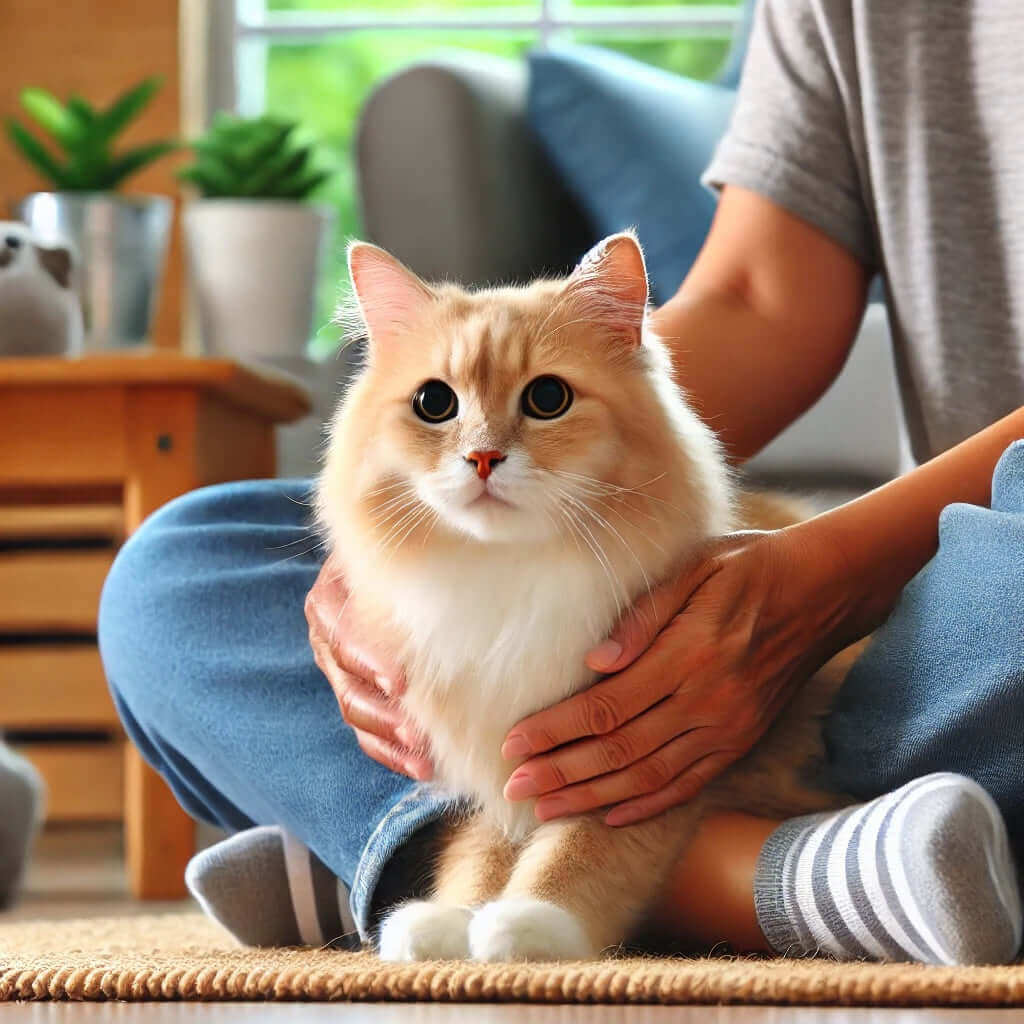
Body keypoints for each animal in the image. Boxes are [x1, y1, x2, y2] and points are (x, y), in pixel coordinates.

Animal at [315, 230, 851, 958]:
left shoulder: (648, 771)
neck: (507, 581)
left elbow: (580, 850)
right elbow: (478, 854)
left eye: (547, 399)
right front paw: (447, 923)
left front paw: (527, 922)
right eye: (434, 404)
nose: (482, 458)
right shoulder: (500, 767)